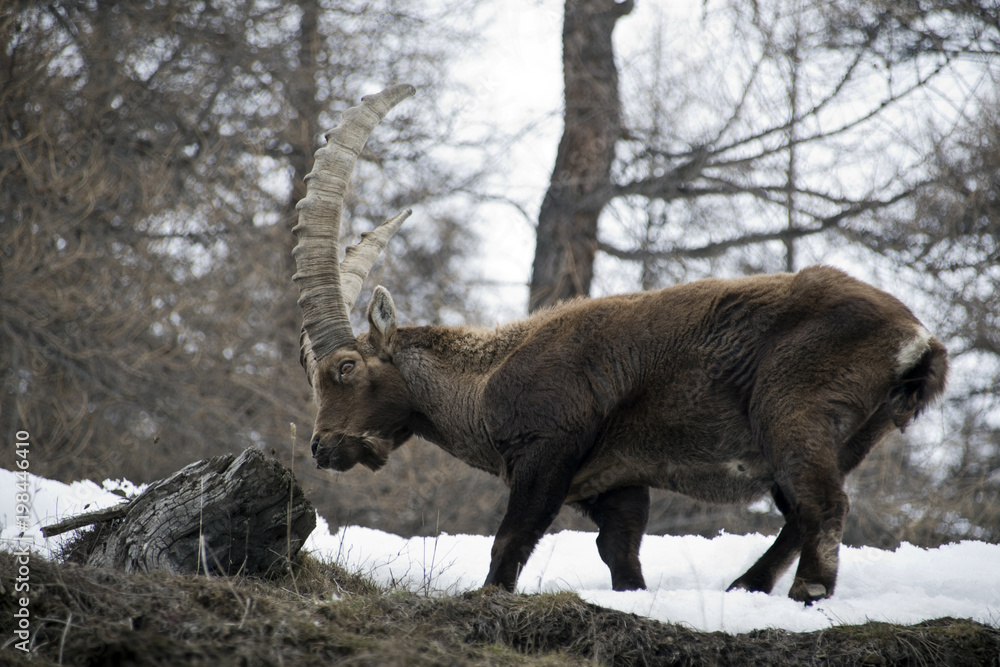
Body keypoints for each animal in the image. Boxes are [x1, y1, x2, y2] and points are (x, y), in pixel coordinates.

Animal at [292, 85, 948, 602]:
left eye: (345, 367)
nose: (323, 447)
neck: (484, 379)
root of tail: (917, 340)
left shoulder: (549, 450)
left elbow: (511, 539)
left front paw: (486, 598)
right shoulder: (615, 484)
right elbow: (622, 554)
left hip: (794, 410)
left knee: (824, 504)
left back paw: (804, 592)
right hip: (845, 436)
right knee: (800, 514)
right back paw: (748, 587)